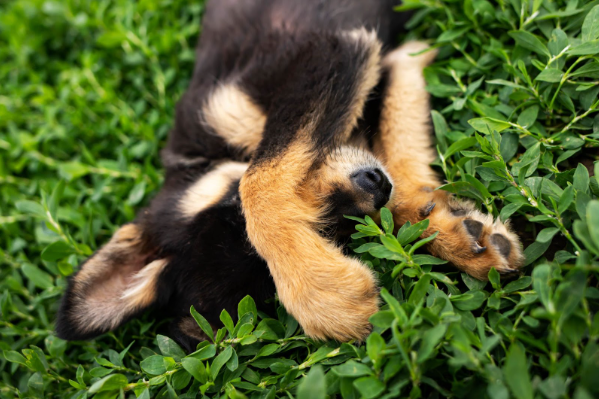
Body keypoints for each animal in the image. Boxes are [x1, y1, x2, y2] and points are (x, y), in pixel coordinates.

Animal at [56, 0, 524, 350]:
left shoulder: (331, 51)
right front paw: (454, 233)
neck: (208, 153)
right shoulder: (392, 61)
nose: (375, 186)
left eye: (234, 203)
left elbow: (260, 178)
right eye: (334, 236)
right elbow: (401, 156)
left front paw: (323, 292)